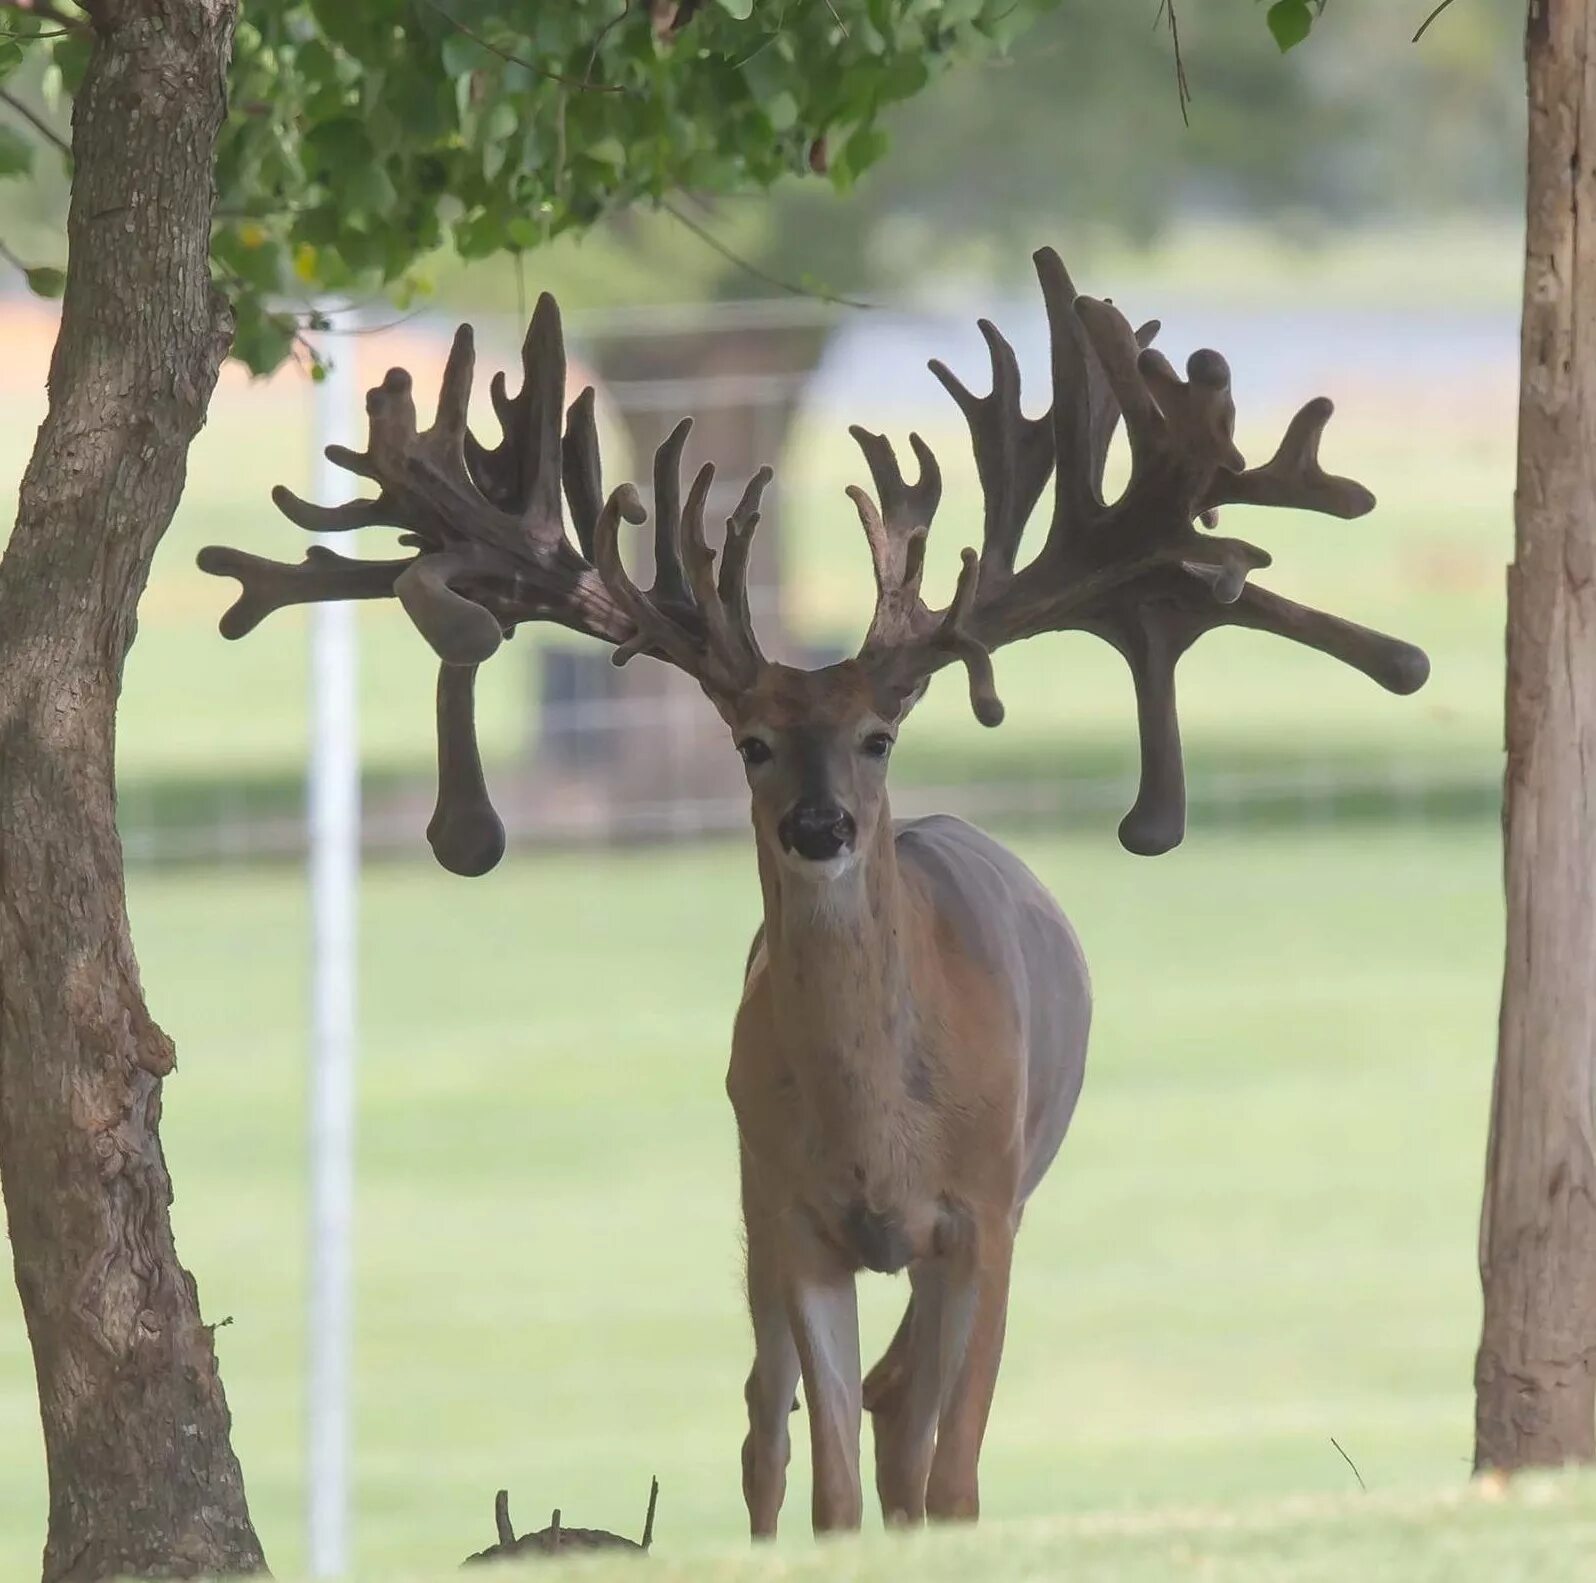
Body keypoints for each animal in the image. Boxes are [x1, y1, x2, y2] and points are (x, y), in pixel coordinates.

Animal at [199, 253, 1436, 1538]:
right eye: (749, 742)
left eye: (879, 735)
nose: (819, 825)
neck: (877, 1131)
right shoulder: (793, 1216)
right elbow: (829, 1465)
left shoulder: (983, 1210)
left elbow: (957, 1464)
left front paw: (943, 1518)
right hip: (752, 1203)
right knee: (772, 1410)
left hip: (1013, 1176)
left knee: (905, 1401)